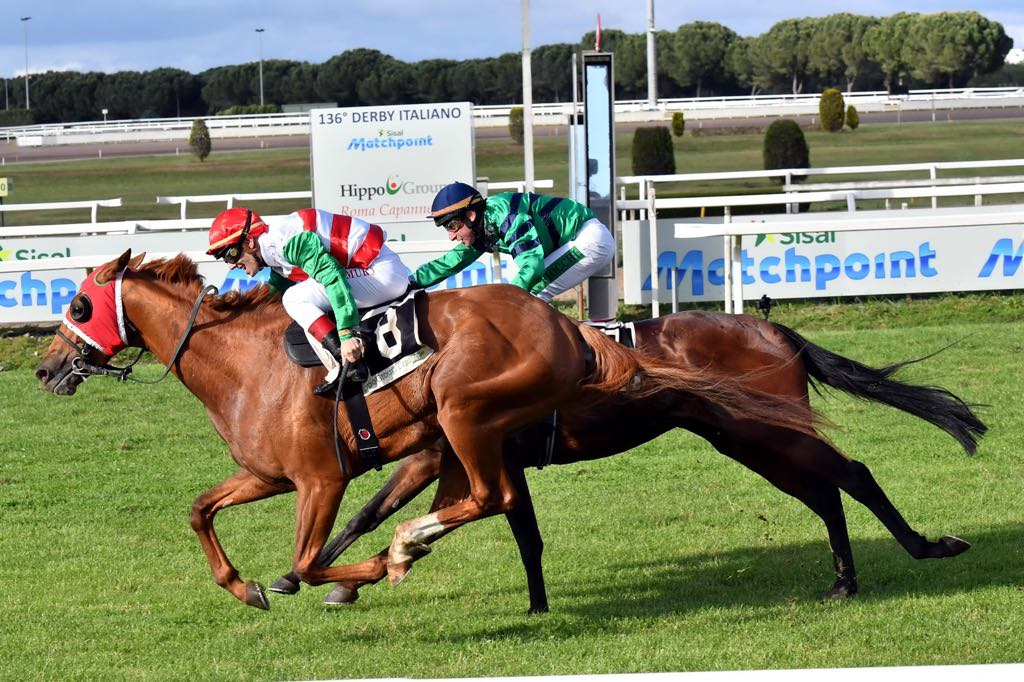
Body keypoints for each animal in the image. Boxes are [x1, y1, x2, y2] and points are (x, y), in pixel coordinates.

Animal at [32, 250, 823, 610]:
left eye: (77, 302)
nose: (44, 368)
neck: (247, 362)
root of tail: (570, 329)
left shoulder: (320, 478)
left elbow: (317, 556)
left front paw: (361, 572)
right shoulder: (267, 474)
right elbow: (200, 510)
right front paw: (245, 586)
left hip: (462, 410)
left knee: (493, 496)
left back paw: (407, 546)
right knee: (490, 499)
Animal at [270, 311, 983, 606]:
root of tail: (774, 329)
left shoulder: (445, 456)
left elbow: (372, 512)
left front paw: (314, 579)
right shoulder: (473, 460)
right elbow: (515, 533)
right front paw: (322, 581)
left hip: (763, 432)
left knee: (851, 476)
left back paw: (928, 548)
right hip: (748, 439)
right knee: (827, 492)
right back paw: (843, 581)